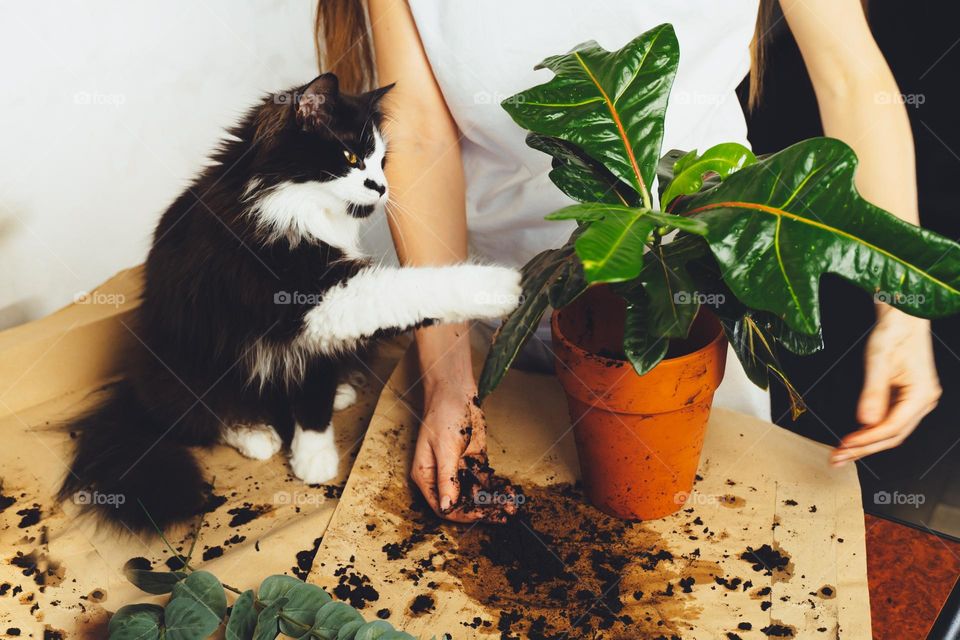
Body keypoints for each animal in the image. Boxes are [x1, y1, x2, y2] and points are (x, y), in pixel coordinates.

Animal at [58, 75, 524, 532]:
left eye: (382, 162)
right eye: (351, 156)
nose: (382, 187)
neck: (287, 207)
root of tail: (131, 391)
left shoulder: (315, 334)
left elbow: (313, 395)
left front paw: (313, 454)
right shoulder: (310, 298)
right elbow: (412, 289)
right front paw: (503, 284)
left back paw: (340, 393)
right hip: (182, 366)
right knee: (203, 415)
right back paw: (256, 435)